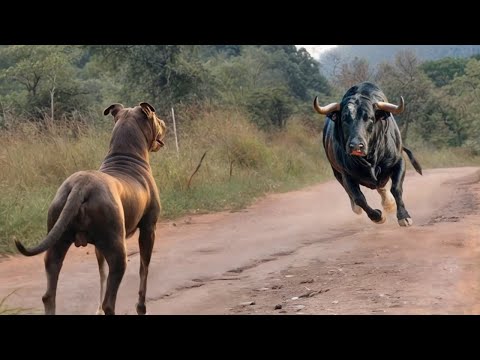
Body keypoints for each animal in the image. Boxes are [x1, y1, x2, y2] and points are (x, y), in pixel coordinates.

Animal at [14, 102, 167, 316]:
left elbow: (101, 274)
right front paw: (141, 308)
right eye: (155, 116)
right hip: (118, 251)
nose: (165, 123)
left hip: (56, 241)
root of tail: (81, 185)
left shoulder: (99, 247)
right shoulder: (148, 230)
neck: (125, 156)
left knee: (48, 295)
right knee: (110, 301)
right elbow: (143, 270)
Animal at [316, 83, 420, 226]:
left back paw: (389, 204)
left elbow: (396, 188)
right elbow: (359, 198)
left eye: (369, 118)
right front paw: (377, 216)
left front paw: (404, 216)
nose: (356, 146)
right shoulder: (346, 174)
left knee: (382, 187)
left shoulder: (398, 161)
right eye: (344, 118)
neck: (370, 158)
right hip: (336, 172)